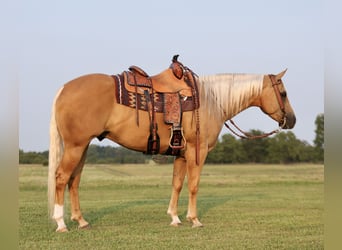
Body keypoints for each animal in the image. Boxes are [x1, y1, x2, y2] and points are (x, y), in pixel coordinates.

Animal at [47, 57, 294, 232]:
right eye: (283, 93)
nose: (292, 120)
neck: (211, 100)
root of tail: (63, 89)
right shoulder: (197, 150)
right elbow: (193, 185)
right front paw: (194, 219)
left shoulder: (181, 153)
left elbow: (177, 184)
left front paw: (175, 218)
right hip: (75, 146)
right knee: (61, 177)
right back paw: (61, 223)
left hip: (83, 147)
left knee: (74, 180)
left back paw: (81, 221)